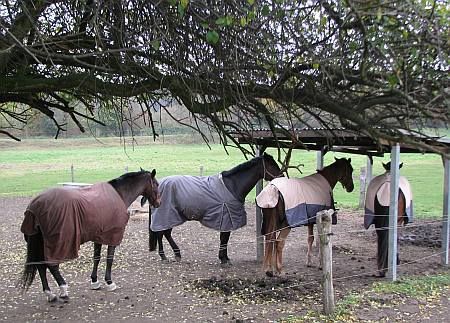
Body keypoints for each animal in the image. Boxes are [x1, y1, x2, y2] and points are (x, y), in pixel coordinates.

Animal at [18, 170, 162, 304]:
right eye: (156, 184)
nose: (158, 203)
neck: (119, 194)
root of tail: (35, 206)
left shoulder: (99, 236)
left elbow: (96, 258)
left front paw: (94, 281)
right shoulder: (113, 236)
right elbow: (109, 259)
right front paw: (109, 282)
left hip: (41, 244)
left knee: (40, 266)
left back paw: (50, 294)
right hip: (57, 243)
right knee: (51, 265)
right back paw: (63, 289)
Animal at [148, 154, 282, 266]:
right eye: (271, 164)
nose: (281, 177)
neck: (232, 186)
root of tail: (159, 185)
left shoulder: (226, 219)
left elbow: (225, 239)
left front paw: (225, 258)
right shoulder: (226, 217)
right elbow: (224, 238)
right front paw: (223, 259)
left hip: (170, 216)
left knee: (164, 233)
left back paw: (173, 254)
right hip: (166, 215)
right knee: (161, 233)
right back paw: (166, 256)